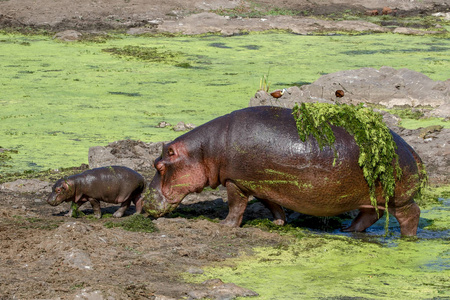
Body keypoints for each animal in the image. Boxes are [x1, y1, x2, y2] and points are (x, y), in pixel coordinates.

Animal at [143, 106, 422, 236]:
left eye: (158, 166)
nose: (144, 203)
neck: (204, 151)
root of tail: (413, 151)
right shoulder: (262, 183)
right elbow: (272, 204)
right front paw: (278, 222)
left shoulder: (235, 181)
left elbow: (236, 206)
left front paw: (225, 225)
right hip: (371, 198)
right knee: (370, 215)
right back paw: (347, 230)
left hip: (400, 199)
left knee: (411, 215)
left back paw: (407, 238)